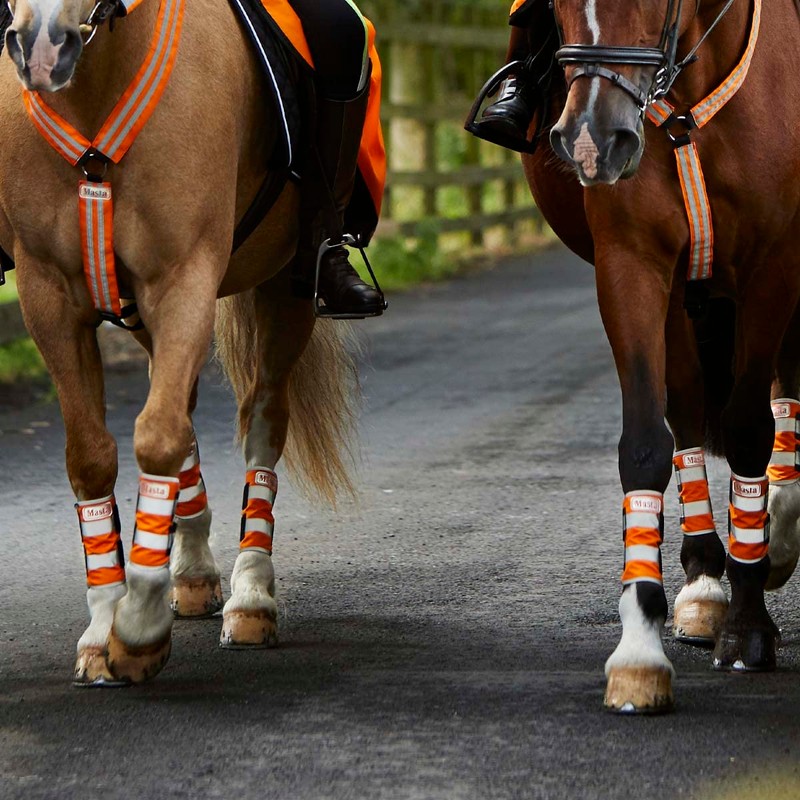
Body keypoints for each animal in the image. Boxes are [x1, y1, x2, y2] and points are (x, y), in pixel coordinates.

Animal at [0, 0, 364, 685]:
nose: (42, 48)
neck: (97, 86)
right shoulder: (48, 297)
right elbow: (93, 456)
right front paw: (102, 627)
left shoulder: (185, 278)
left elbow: (160, 437)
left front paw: (139, 628)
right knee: (183, 411)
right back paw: (192, 572)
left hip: (285, 288)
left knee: (260, 423)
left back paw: (251, 597)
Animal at [503, 0, 800, 712]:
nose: (590, 141)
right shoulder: (632, 259)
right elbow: (645, 442)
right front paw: (640, 651)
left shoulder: (776, 267)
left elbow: (751, 428)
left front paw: (750, 626)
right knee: (689, 400)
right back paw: (706, 584)